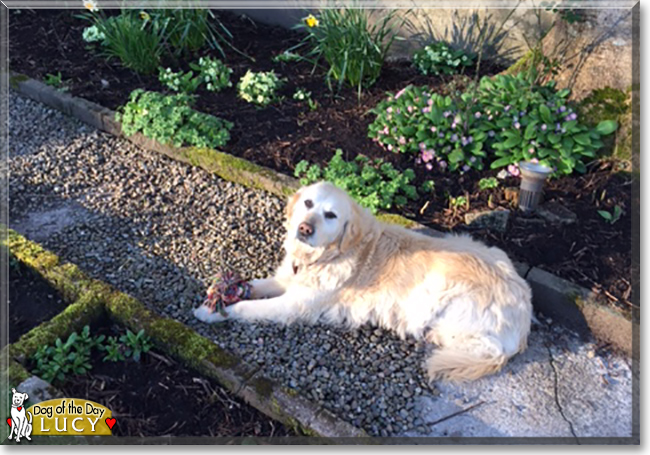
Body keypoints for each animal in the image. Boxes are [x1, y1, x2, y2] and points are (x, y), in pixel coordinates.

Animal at [196, 182, 532, 382]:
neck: (326, 255)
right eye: (308, 203)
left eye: (331, 215)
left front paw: (212, 312)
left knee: (486, 347)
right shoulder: (289, 280)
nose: (304, 228)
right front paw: (224, 292)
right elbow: (257, 285)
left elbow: (248, 308)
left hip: (452, 307)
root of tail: (525, 309)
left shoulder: (295, 305)